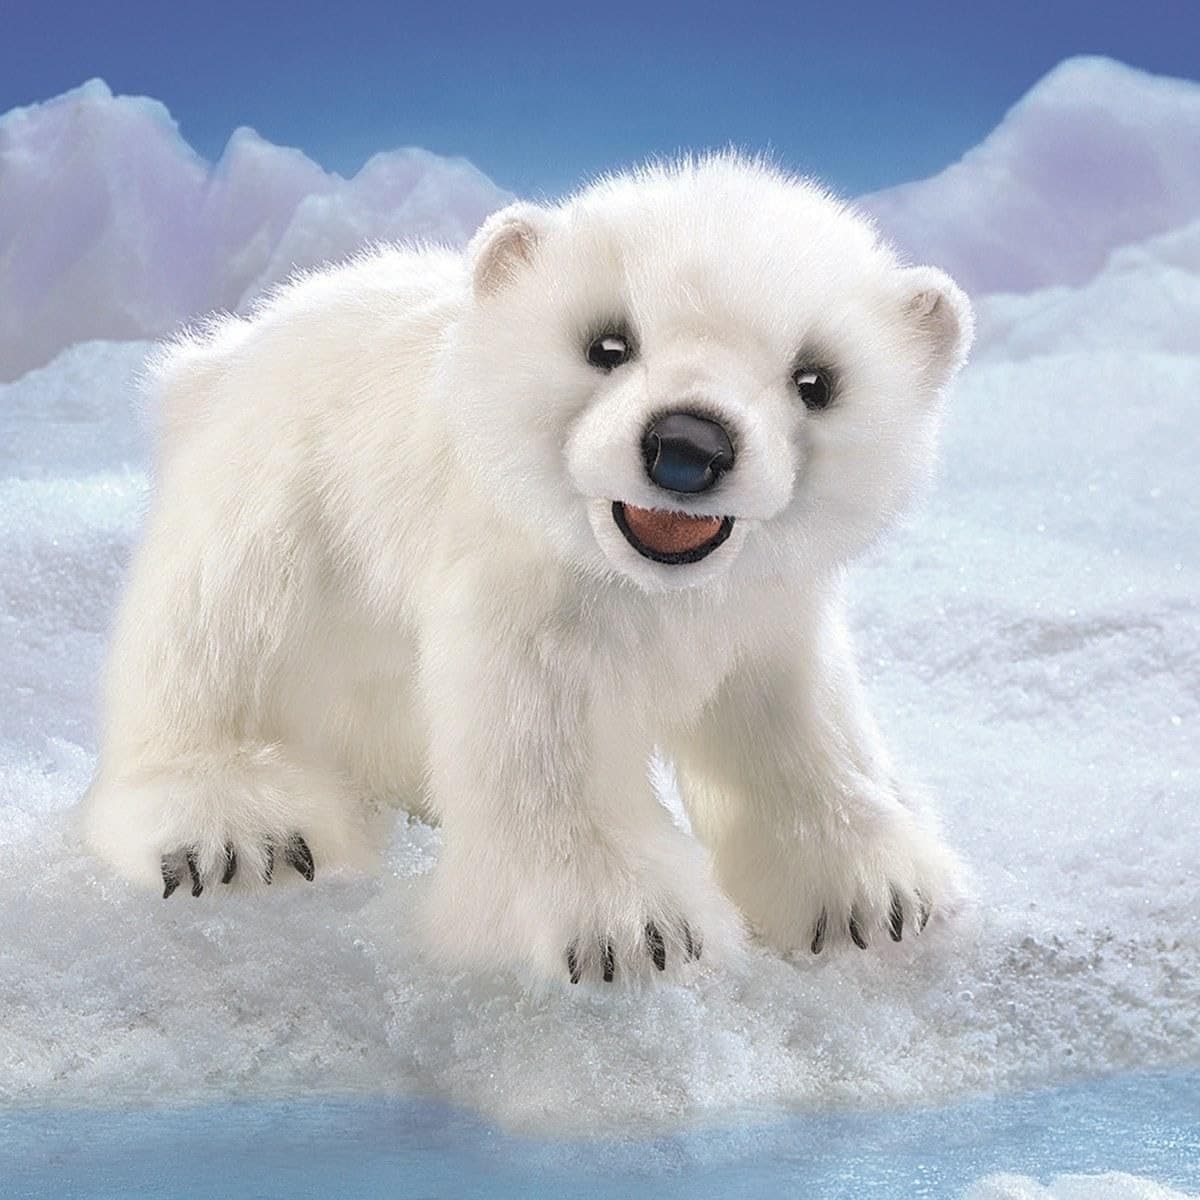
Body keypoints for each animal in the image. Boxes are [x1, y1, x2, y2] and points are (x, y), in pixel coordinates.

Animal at [79, 154, 973, 986]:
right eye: (608, 344)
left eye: (815, 380)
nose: (688, 444)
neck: (653, 589)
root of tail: (217, 355)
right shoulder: (534, 600)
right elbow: (547, 748)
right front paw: (631, 933)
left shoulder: (767, 612)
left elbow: (799, 723)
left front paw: (876, 897)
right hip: (282, 500)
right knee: (219, 636)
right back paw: (239, 831)